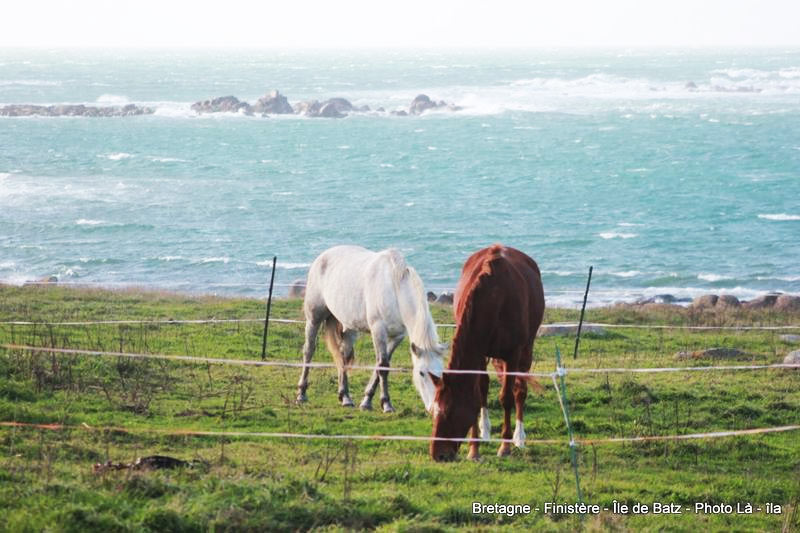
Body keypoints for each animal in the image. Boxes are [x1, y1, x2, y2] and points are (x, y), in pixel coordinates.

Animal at [296, 244, 444, 412]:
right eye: (421, 373)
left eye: (441, 373)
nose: (435, 408)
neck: (394, 287)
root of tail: (322, 256)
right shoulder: (378, 330)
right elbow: (383, 366)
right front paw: (386, 404)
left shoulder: (397, 336)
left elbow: (381, 365)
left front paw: (367, 400)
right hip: (314, 319)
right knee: (309, 350)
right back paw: (301, 393)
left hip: (349, 327)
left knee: (343, 355)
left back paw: (345, 397)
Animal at [432, 243, 544, 460]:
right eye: (433, 411)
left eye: (449, 412)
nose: (438, 455)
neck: (495, 297)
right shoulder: (479, 352)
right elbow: (477, 393)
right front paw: (474, 449)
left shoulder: (512, 354)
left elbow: (507, 397)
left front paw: (505, 446)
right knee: (484, 387)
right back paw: (485, 431)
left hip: (526, 350)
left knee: (520, 390)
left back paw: (519, 437)